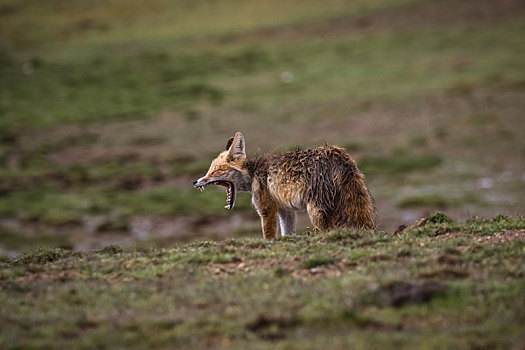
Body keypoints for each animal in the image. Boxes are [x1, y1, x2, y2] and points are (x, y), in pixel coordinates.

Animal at [194, 133, 374, 239]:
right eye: (209, 171)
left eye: (214, 171)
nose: (195, 182)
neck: (253, 173)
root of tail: (339, 154)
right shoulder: (285, 211)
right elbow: (287, 234)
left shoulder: (266, 209)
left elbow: (268, 236)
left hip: (316, 211)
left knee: (327, 230)